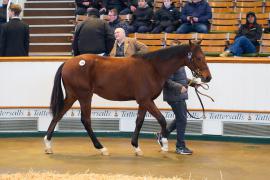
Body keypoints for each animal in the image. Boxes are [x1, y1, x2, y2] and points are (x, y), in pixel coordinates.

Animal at [43, 40, 211, 155]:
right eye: (198, 58)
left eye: (203, 56)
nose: (207, 77)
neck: (153, 68)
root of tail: (68, 62)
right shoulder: (146, 100)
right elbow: (162, 119)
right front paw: (163, 143)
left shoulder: (144, 101)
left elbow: (139, 121)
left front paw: (136, 147)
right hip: (84, 96)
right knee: (86, 120)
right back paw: (101, 148)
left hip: (72, 96)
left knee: (58, 115)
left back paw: (48, 145)